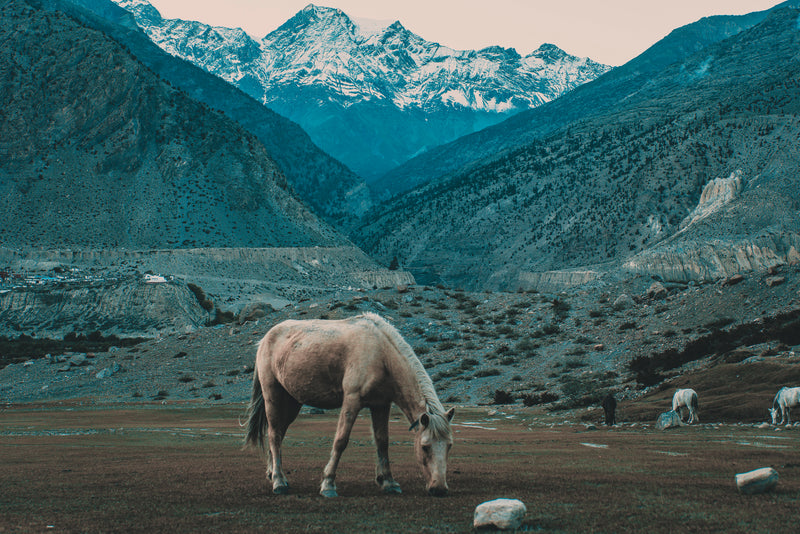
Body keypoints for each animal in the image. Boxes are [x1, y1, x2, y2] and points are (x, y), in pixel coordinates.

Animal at [244, 313, 455, 498]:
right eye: (425, 447)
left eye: (449, 446)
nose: (439, 489)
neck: (381, 354)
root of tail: (265, 339)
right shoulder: (352, 400)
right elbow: (341, 441)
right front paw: (328, 484)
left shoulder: (381, 404)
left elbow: (382, 441)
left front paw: (388, 482)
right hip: (272, 394)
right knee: (274, 434)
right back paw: (279, 482)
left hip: (292, 402)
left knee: (279, 432)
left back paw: (273, 474)